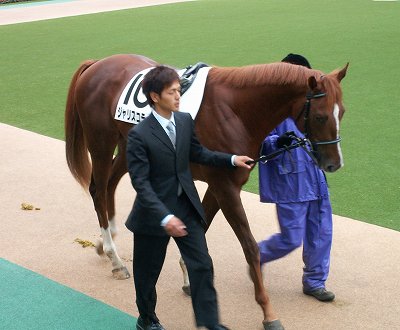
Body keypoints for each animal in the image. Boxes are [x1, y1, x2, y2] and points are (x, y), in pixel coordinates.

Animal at [65, 53, 346, 328]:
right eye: (320, 116)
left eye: (342, 112)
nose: (334, 163)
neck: (236, 111)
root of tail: (97, 63)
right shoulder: (225, 187)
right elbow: (250, 246)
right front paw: (268, 312)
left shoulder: (221, 184)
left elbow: (202, 226)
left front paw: (190, 278)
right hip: (101, 142)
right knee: (98, 189)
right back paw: (114, 257)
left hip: (128, 145)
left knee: (111, 184)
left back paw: (105, 242)